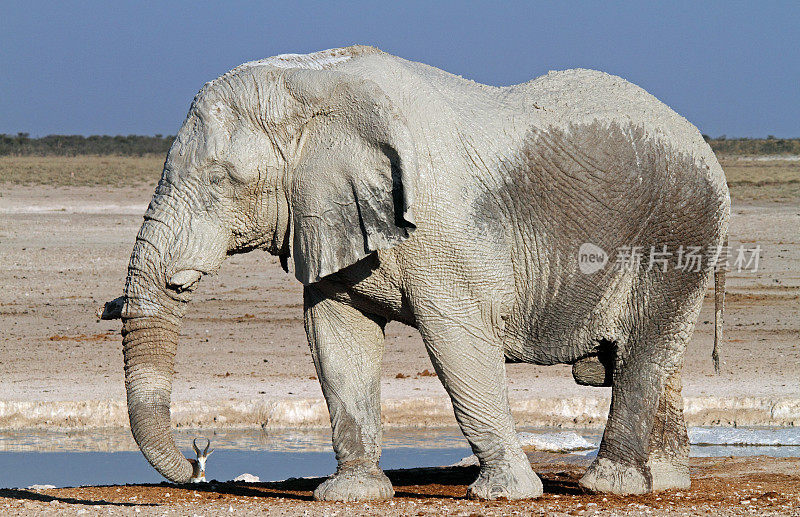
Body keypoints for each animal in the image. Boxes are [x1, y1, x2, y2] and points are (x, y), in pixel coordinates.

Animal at [104, 45, 732, 500]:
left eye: (222, 181)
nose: (197, 466)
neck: (312, 84)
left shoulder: (444, 236)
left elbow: (457, 344)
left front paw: (504, 495)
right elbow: (336, 338)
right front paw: (351, 496)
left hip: (678, 230)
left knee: (644, 351)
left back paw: (610, 486)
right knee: (656, 358)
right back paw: (664, 480)